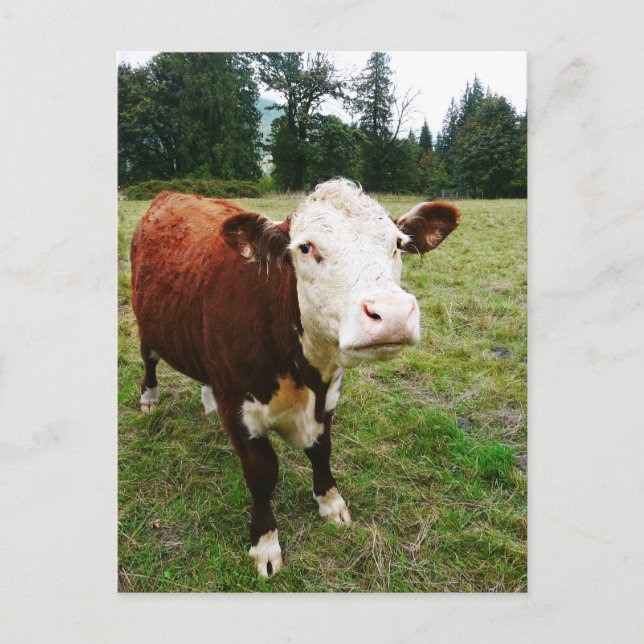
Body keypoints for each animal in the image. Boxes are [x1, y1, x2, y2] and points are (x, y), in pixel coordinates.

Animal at [130, 178, 460, 577]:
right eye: (306, 247)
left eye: (396, 243)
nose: (392, 314)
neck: (304, 373)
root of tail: (170, 195)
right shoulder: (239, 406)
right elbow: (262, 475)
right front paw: (265, 543)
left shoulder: (327, 397)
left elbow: (322, 450)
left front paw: (331, 503)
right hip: (146, 322)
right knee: (148, 359)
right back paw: (149, 399)